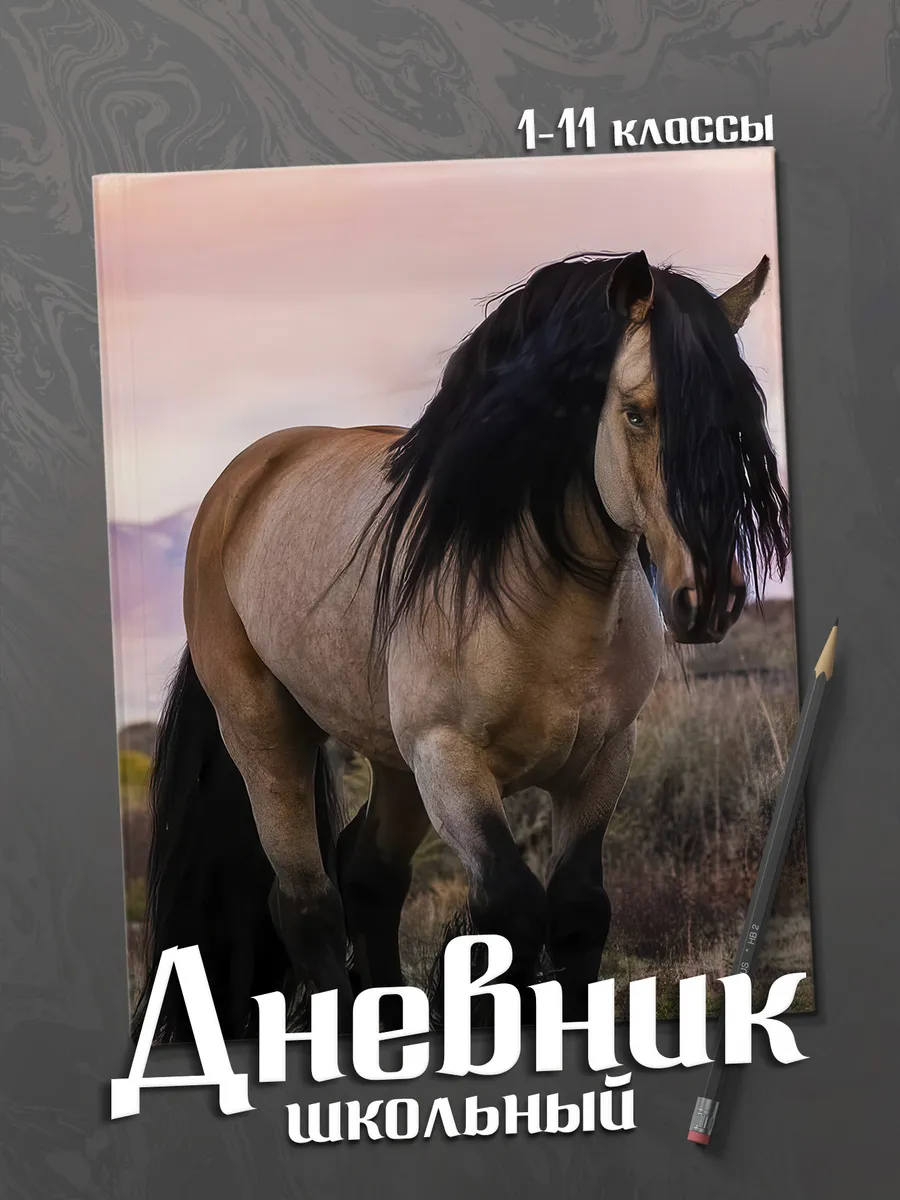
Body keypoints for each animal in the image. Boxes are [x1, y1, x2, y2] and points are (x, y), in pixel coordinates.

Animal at [132, 250, 790, 1043]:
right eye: (636, 412)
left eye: (740, 419)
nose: (710, 594)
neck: (539, 593)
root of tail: (243, 482)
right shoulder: (450, 761)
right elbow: (513, 910)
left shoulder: (603, 761)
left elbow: (579, 914)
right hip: (269, 736)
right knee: (307, 904)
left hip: (393, 763)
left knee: (370, 879)